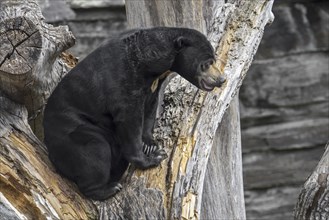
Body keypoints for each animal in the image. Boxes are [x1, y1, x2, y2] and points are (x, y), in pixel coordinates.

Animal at [43, 26, 226, 200]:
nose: (221, 80)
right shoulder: (123, 81)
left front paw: (150, 144)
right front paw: (154, 157)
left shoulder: (152, 86)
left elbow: (150, 109)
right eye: (207, 63)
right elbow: (129, 119)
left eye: (213, 61)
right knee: (95, 151)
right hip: (74, 131)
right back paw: (108, 189)